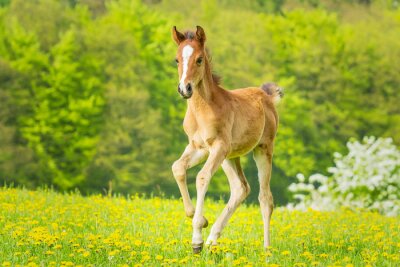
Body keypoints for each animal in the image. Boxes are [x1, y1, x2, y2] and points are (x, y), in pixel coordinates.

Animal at [170, 25, 282, 253]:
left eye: (199, 59)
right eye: (177, 60)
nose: (184, 89)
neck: (202, 109)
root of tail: (266, 96)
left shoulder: (218, 147)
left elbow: (202, 177)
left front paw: (197, 238)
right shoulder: (198, 147)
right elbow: (177, 168)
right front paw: (200, 219)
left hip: (262, 149)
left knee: (265, 198)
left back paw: (266, 250)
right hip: (230, 157)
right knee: (241, 188)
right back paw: (212, 238)